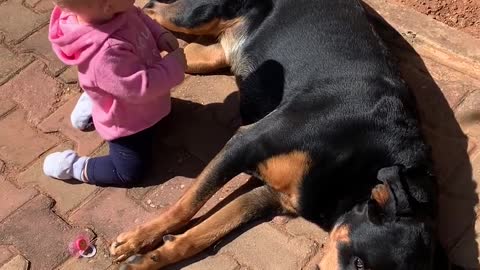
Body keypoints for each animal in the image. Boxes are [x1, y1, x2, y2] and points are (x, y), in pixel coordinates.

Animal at [109, 0, 442, 268]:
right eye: (359, 263)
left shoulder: (270, 196)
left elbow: (207, 232)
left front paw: (151, 258)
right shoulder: (247, 142)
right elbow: (186, 205)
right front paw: (138, 238)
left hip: (202, 56)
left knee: (183, 52)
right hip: (193, 17)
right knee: (149, 10)